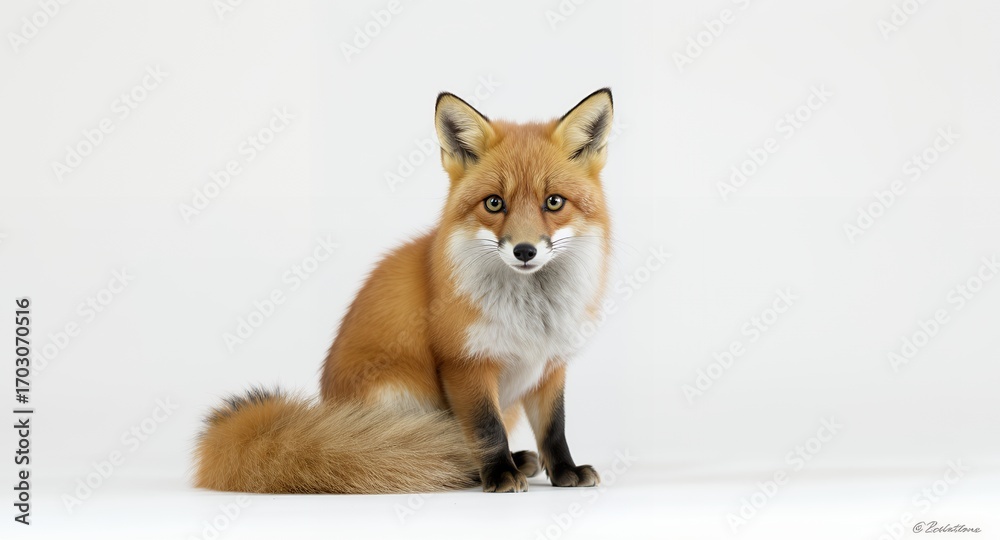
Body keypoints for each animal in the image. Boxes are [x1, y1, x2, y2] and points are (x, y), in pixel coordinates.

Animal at [194, 88, 615, 494]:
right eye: (494, 203)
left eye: (554, 202)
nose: (524, 251)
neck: (532, 315)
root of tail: (329, 408)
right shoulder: (465, 363)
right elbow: (486, 429)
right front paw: (498, 475)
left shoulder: (551, 366)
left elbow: (554, 430)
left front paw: (565, 472)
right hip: (399, 398)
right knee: (428, 456)